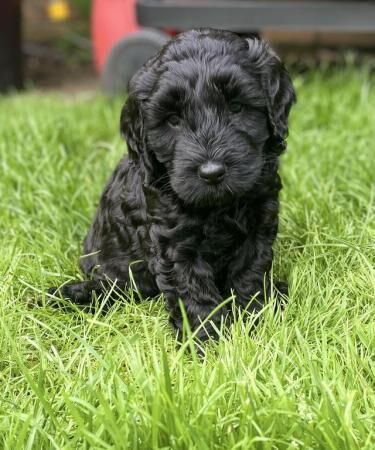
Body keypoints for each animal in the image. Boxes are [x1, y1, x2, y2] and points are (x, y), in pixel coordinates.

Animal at [50, 29, 296, 338]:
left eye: (236, 107)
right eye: (173, 119)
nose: (212, 172)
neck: (218, 207)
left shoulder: (258, 222)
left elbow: (249, 270)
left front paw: (253, 318)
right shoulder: (173, 240)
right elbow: (190, 287)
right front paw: (208, 338)